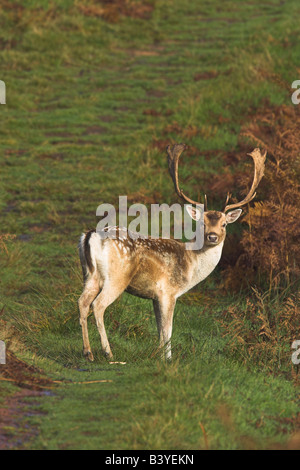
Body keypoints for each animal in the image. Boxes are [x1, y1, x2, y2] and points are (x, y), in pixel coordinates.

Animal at [78, 144, 266, 360]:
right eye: (201, 223)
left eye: (224, 224)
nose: (212, 236)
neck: (191, 266)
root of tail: (91, 235)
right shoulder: (167, 292)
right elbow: (168, 330)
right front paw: (167, 358)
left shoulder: (154, 297)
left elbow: (160, 329)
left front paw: (159, 355)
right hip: (117, 277)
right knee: (98, 305)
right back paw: (108, 352)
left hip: (90, 275)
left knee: (82, 302)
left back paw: (88, 352)